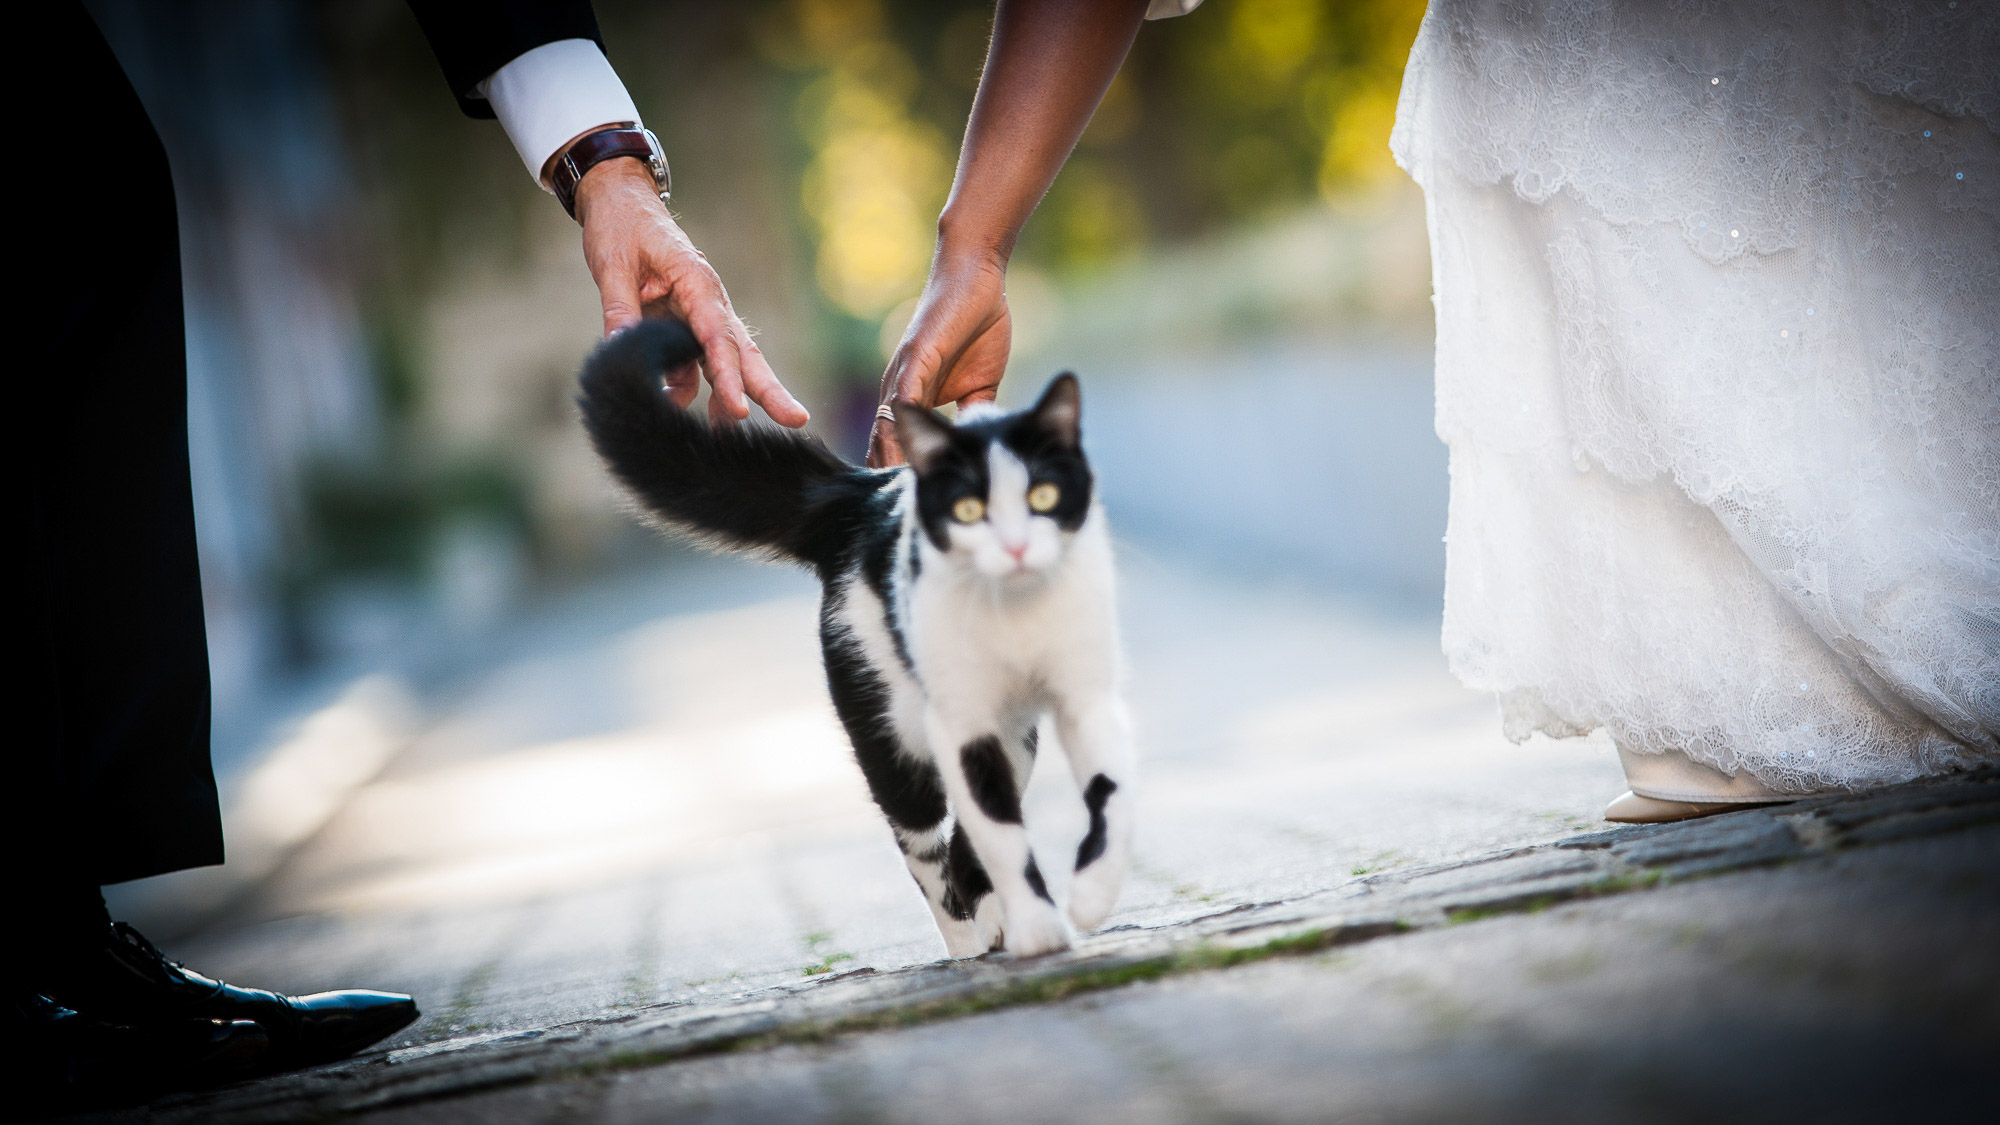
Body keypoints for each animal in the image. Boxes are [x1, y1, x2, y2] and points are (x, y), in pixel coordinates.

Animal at [584, 318, 1136, 952]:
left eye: (1043, 496)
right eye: (969, 510)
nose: (1017, 547)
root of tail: (859, 492)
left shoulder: (1083, 698)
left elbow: (1106, 795)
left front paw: (1091, 895)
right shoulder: (959, 720)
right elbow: (995, 832)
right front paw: (1040, 930)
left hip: (1012, 735)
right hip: (887, 727)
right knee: (925, 848)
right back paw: (969, 943)